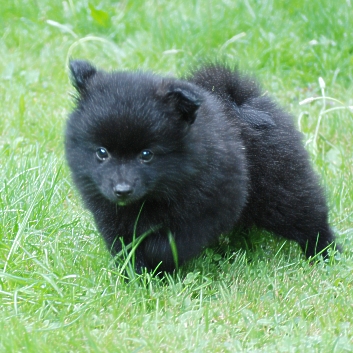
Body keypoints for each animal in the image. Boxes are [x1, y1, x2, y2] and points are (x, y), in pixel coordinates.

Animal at [64, 59, 336, 270]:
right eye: (102, 153)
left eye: (146, 154)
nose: (122, 190)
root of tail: (240, 100)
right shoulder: (110, 215)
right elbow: (126, 247)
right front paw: (137, 277)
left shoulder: (208, 209)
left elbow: (167, 244)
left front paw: (159, 263)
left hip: (281, 189)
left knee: (308, 217)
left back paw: (326, 254)